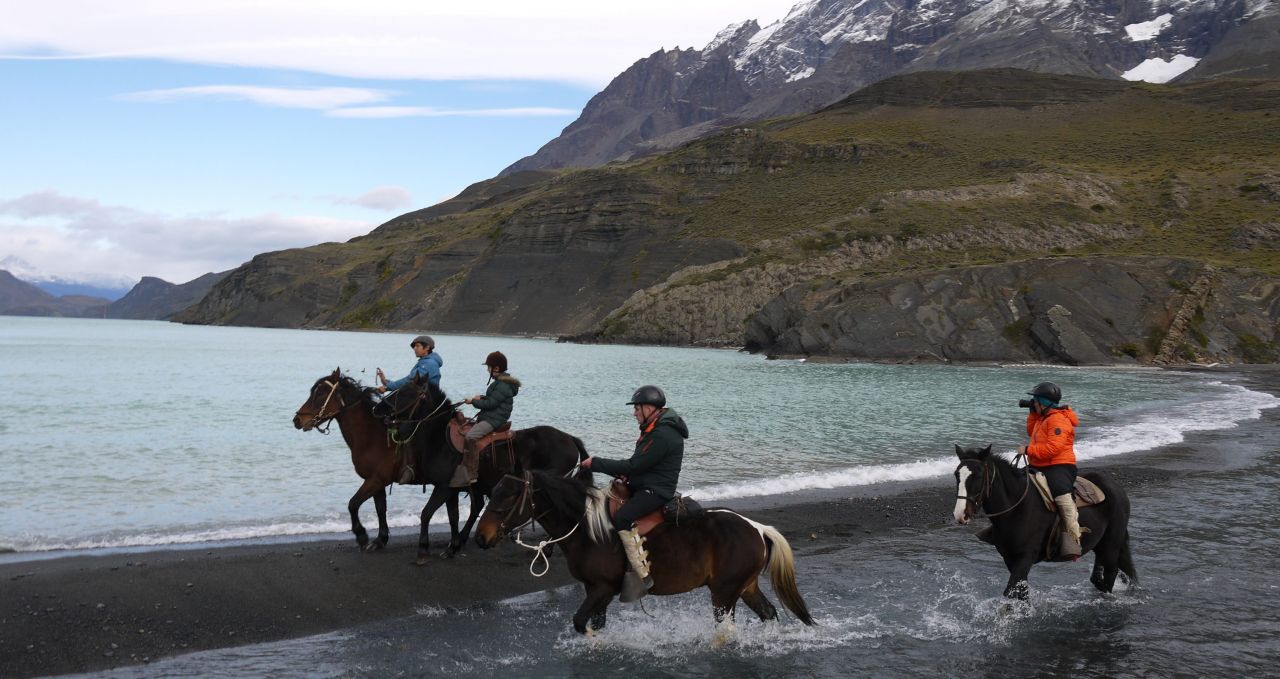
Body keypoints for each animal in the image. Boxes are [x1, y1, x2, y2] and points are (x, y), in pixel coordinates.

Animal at [373, 376, 586, 563]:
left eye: (406, 392)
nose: (377, 408)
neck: (441, 439)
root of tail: (569, 438)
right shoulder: (452, 490)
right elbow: (453, 517)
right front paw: (453, 546)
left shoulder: (443, 487)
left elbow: (426, 513)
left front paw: (423, 550)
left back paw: (547, 550)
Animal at [476, 471, 814, 635]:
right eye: (494, 493)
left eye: (508, 497)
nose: (481, 537)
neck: (588, 529)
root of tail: (757, 527)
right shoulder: (594, 590)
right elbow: (594, 623)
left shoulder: (603, 588)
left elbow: (580, 622)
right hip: (745, 587)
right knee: (768, 613)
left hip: (724, 593)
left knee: (727, 626)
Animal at [952, 443, 1141, 597]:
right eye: (956, 475)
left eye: (977, 475)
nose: (960, 514)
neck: (1017, 508)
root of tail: (1116, 488)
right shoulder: (1010, 558)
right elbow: (1021, 593)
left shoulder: (1026, 557)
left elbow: (1011, 591)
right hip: (1100, 545)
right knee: (1098, 576)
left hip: (1111, 544)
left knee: (1110, 573)